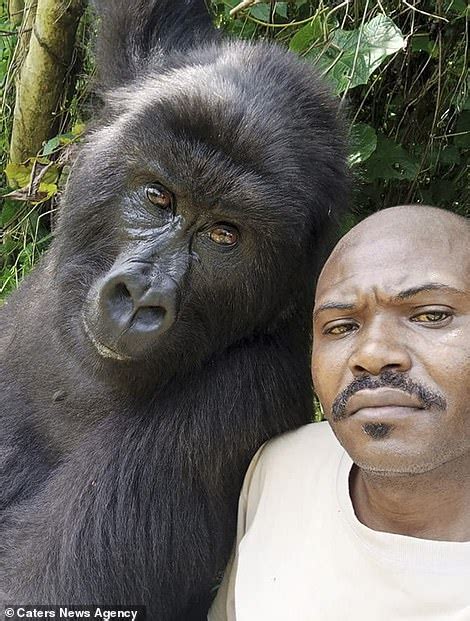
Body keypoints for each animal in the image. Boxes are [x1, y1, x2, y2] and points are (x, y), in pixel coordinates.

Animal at [0, 1, 348, 620]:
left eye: (224, 235)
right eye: (159, 197)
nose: (141, 297)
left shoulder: (239, 397)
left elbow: (32, 590)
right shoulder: (149, 63)